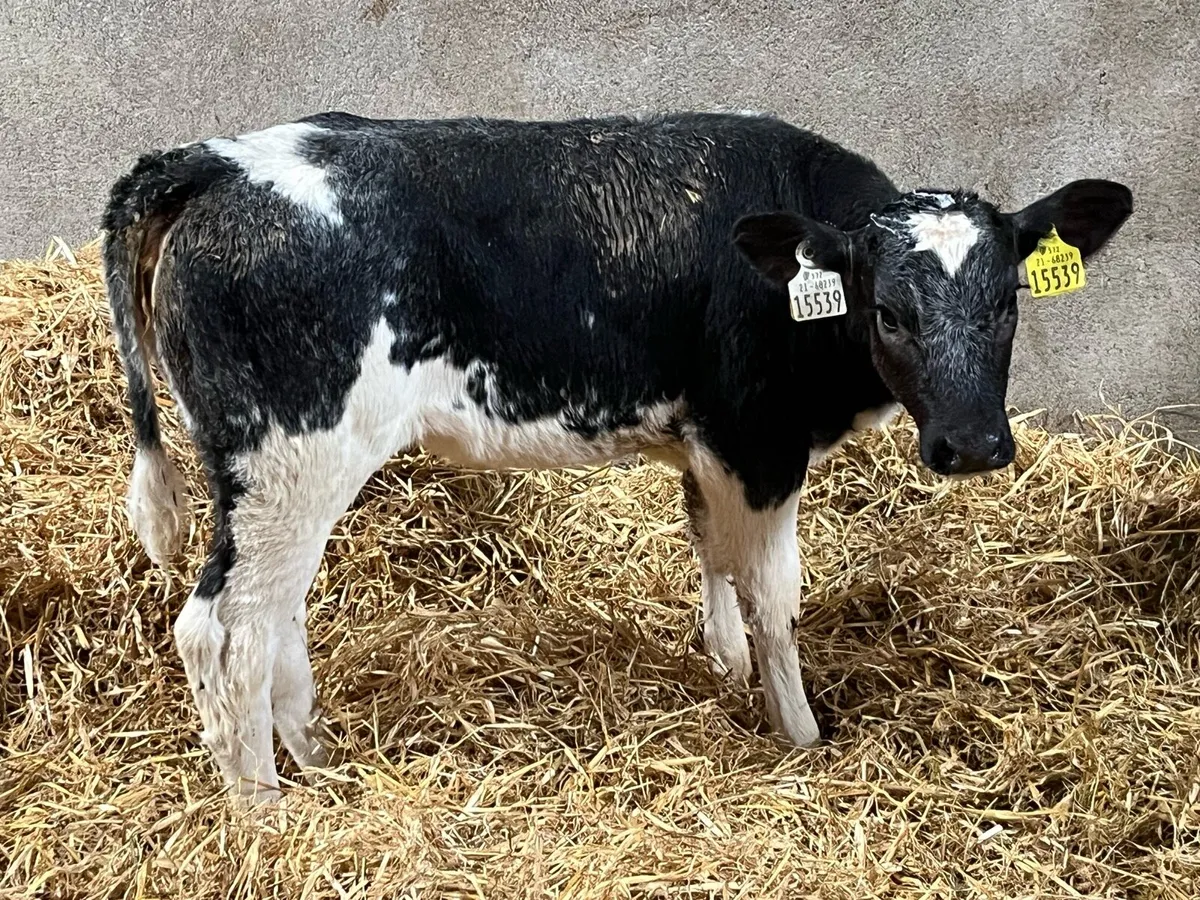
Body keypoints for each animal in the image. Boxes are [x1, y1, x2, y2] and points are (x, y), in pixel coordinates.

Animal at [101, 110, 1132, 801]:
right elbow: (774, 596)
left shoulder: (706, 446)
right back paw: (267, 811)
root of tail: (212, 161)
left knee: (274, 615)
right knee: (224, 629)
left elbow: (710, 550)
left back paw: (316, 759)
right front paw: (801, 735)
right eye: (888, 311)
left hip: (282, 477)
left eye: (1007, 302)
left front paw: (723, 668)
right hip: (288, 460)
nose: (973, 445)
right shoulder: (759, 440)